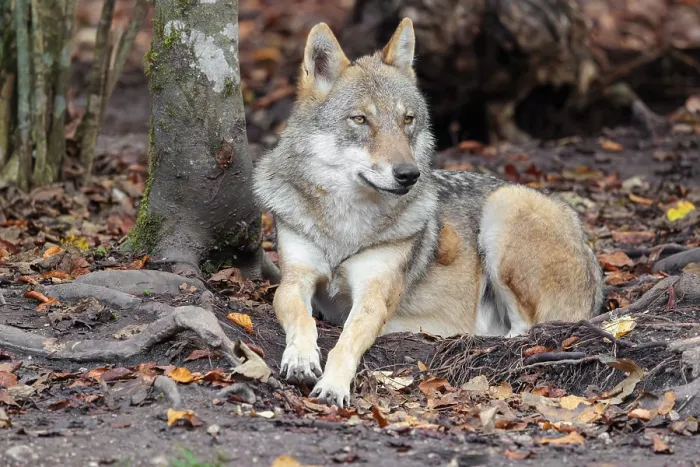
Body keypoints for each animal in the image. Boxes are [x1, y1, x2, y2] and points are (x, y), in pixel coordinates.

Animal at [253, 18, 603, 408]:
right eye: (360, 120)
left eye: (407, 120)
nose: (408, 173)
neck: (345, 227)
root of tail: (588, 245)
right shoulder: (294, 282)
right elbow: (303, 320)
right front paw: (301, 359)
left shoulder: (373, 298)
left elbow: (345, 343)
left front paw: (334, 385)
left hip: (505, 205)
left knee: (524, 331)